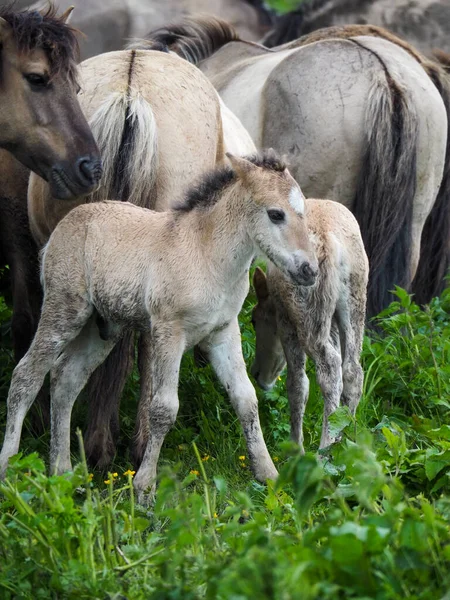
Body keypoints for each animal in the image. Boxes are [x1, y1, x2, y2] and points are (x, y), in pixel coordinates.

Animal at [0, 151, 318, 502]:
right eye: (275, 214)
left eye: (304, 212)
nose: (309, 270)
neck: (208, 254)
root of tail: (63, 227)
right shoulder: (169, 330)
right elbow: (164, 407)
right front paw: (144, 486)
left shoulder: (223, 331)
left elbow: (246, 398)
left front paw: (268, 474)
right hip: (64, 309)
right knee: (27, 374)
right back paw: (9, 467)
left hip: (100, 328)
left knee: (65, 378)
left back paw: (64, 472)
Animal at [251, 199, 368, 452]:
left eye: (254, 320)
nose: (256, 373)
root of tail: (332, 242)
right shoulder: (331, 324)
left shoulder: (285, 319)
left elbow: (297, 383)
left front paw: (295, 448)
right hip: (354, 299)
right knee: (352, 370)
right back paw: (346, 444)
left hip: (307, 310)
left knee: (329, 370)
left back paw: (325, 450)